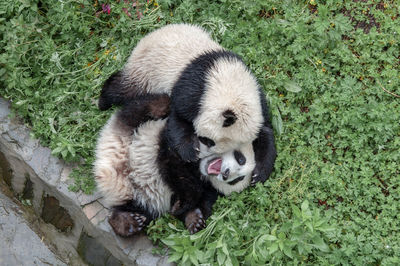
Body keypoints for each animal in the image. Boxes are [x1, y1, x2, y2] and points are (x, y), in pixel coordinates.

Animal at [95, 95, 255, 235]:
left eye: (236, 180)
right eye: (240, 159)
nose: (226, 173)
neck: (199, 168)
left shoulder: (208, 187)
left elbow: (202, 199)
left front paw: (194, 219)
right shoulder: (172, 145)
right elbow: (176, 166)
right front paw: (183, 205)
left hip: (140, 201)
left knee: (134, 209)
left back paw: (127, 222)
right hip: (133, 131)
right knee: (143, 108)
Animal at [98, 23, 276, 188]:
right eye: (207, 141)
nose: (202, 157)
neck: (231, 86)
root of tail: (151, 35)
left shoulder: (257, 102)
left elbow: (266, 131)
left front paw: (259, 173)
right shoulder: (195, 88)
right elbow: (178, 115)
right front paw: (189, 151)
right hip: (147, 69)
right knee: (125, 88)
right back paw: (103, 100)